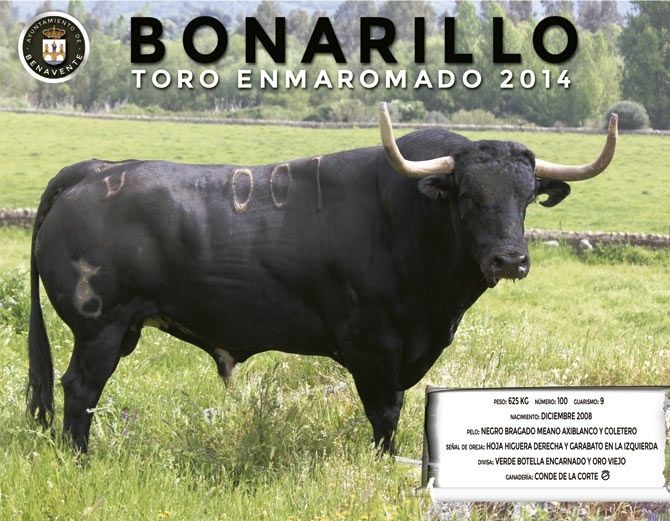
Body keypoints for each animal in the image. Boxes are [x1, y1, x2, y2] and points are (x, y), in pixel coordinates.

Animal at [27, 103, 618, 453]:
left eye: (527, 197)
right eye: (469, 196)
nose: (509, 260)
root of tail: (96, 169)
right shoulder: (373, 347)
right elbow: (385, 415)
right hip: (100, 329)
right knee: (80, 390)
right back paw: (80, 460)